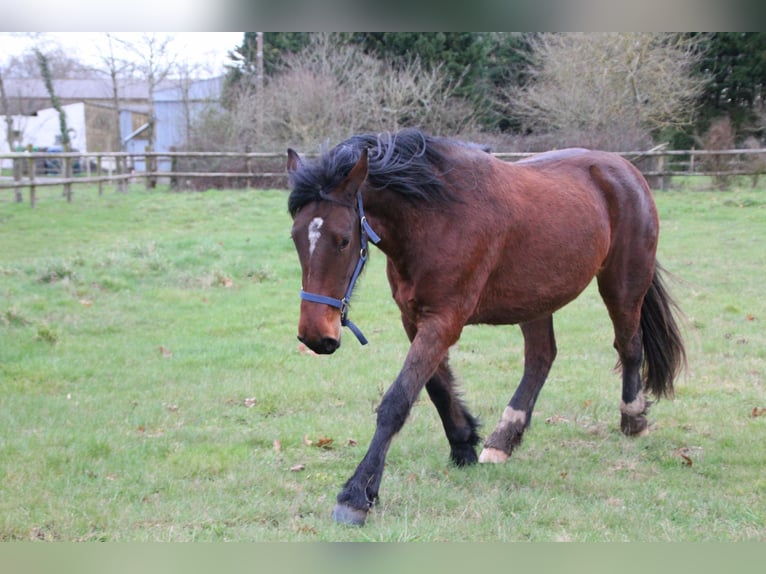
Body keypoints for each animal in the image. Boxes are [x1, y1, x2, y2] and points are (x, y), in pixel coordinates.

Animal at [286, 128, 685, 526]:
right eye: (295, 237)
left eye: (343, 240)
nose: (316, 337)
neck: (437, 215)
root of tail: (626, 170)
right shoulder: (415, 318)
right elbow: (436, 387)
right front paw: (463, 442)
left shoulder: (445, 320)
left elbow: (398, 401)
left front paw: (357, 494)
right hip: (536, 298)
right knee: (541, 357)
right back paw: (504, 438)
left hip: (622, 284)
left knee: (628, 345)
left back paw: (633, 418)